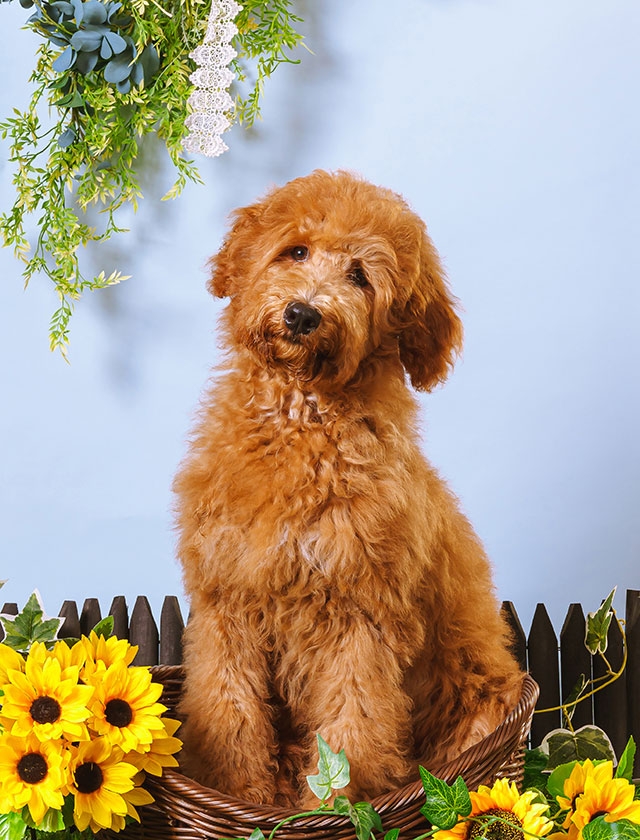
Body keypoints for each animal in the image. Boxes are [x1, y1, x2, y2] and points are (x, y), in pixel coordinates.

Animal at [172, 169, 524, 808]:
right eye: (296, 251)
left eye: (360, 275)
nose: (302, 314)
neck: (300, 420)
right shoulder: (227, 602)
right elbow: (229, 711)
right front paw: (240, 794)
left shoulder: (363, 618)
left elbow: (352, 726)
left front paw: (330, 808)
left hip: (485, 704)